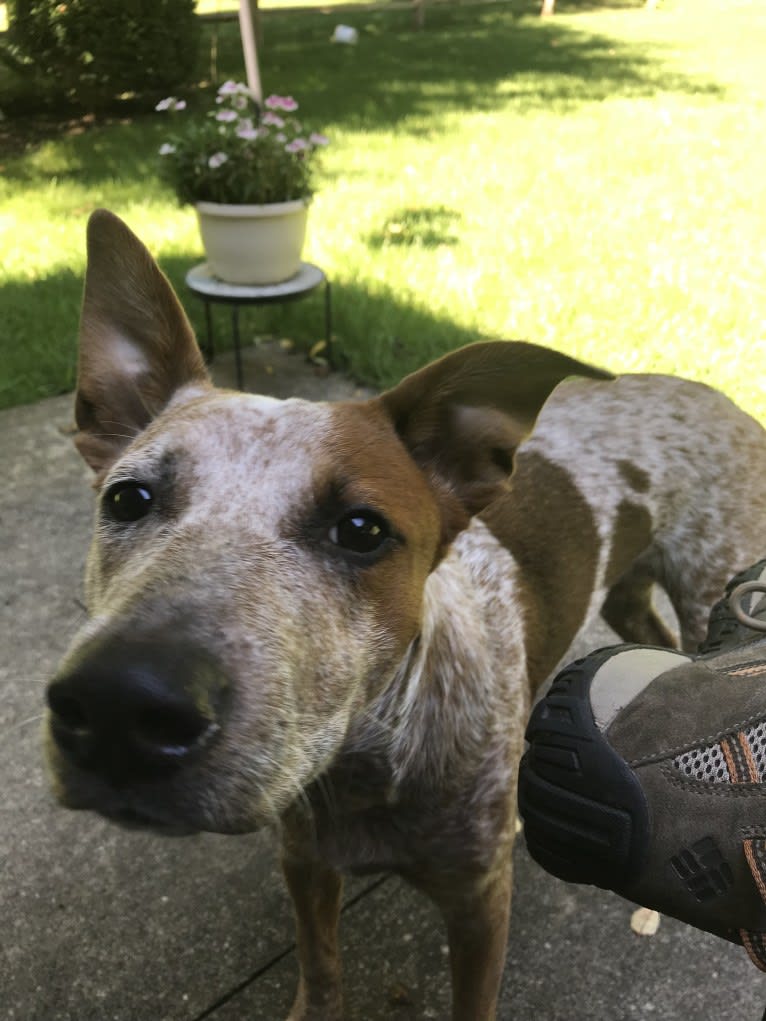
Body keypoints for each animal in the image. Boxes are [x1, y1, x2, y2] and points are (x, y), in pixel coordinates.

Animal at [44, 209, 766, 1021]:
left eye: (362, 529)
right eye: (127, 497)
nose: (118, 703)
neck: (363, 765)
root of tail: (718, 394)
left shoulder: (479, 900)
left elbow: (471, 1000)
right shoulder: (305, 862)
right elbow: (321, 969)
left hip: (713, 585)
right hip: (625, 592)